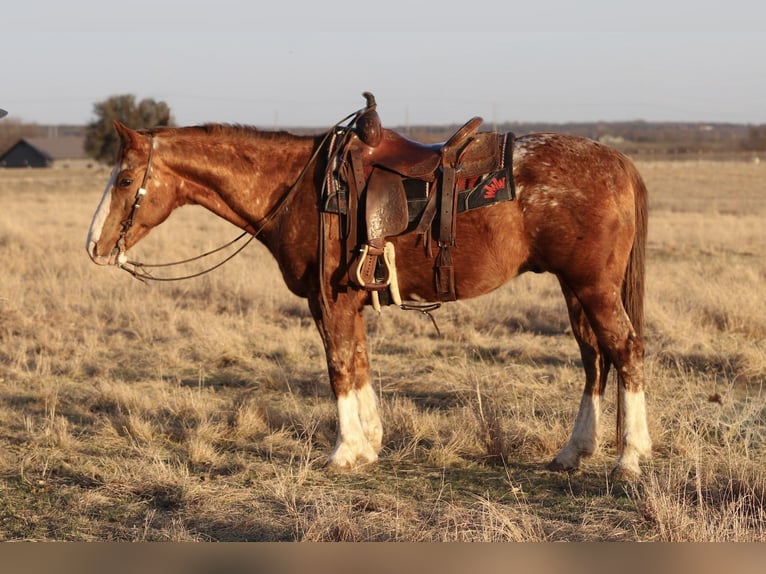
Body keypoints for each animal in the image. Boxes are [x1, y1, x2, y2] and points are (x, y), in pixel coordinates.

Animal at [86, 112, 652, 479]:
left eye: (127, 179)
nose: (94, 246)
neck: (302, 190)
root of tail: (619, 162)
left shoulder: (329, 302)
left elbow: (339, 367)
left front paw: (344, 450)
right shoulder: (345, 303)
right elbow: (358, 364)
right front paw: (370, 444)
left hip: (593, 287)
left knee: (625, 351)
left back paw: (630, 457)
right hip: (575, 288)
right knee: (594, 358)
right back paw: (575, 452)